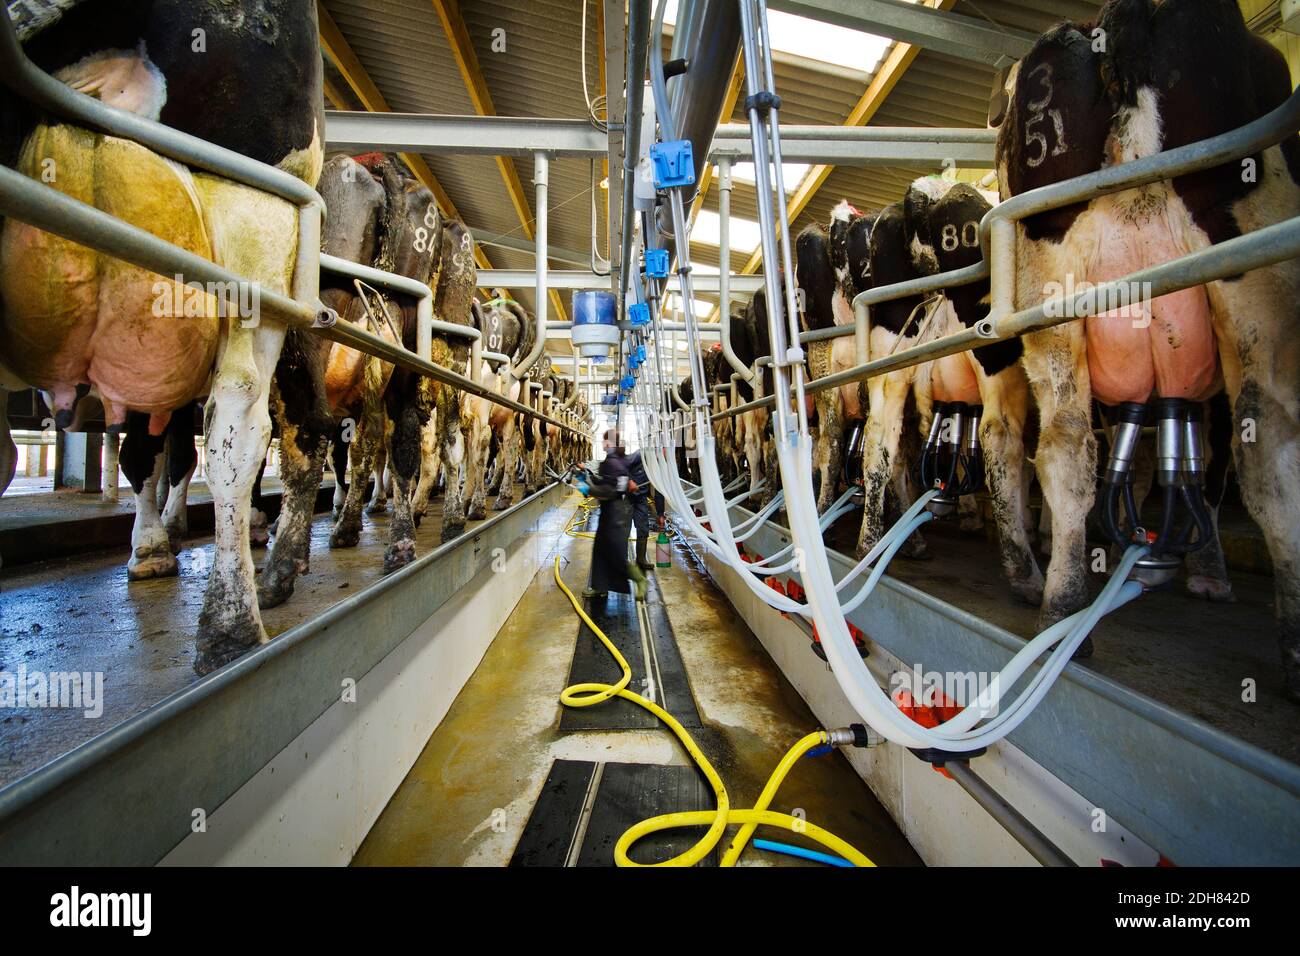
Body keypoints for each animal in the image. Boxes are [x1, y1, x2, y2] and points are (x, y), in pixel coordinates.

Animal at [998, 0, 1294, 691]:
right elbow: (1205, 466)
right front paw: (1205, 566)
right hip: (1249, 272)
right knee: (1263, 442)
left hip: (1054, 291)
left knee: (1067, 449)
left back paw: (1062, 609)